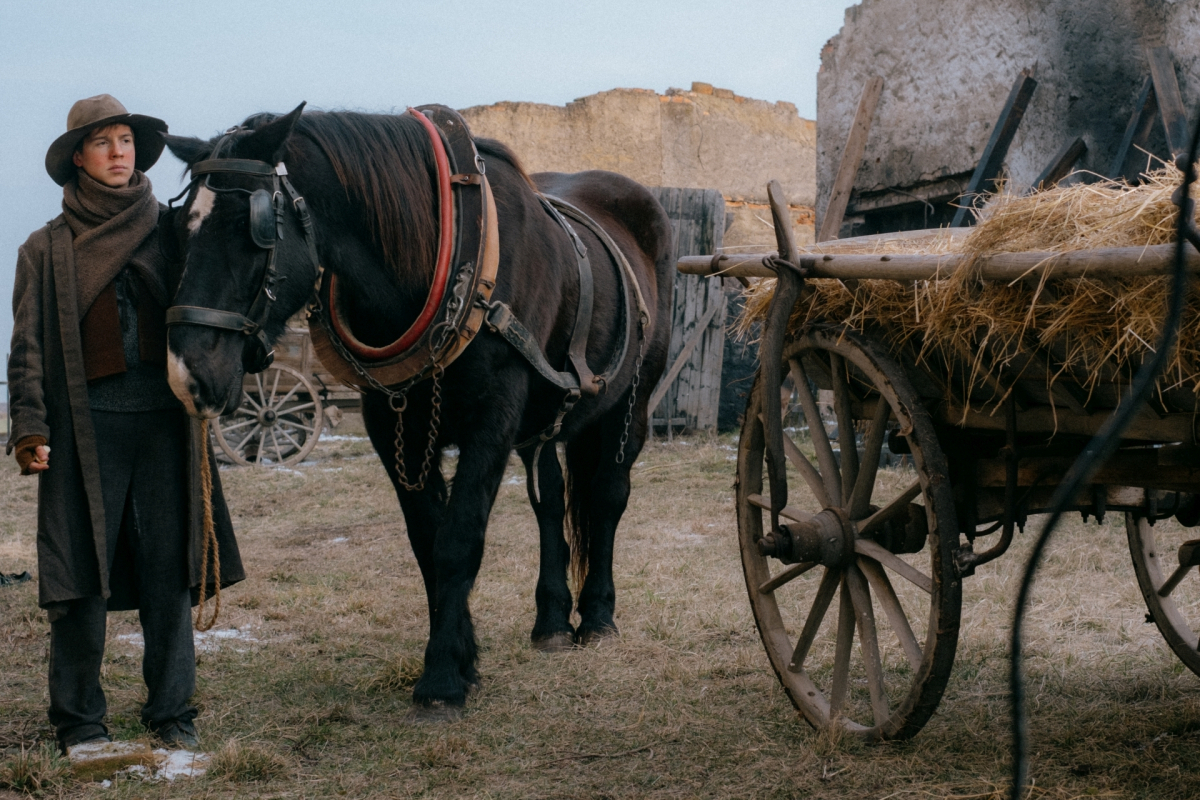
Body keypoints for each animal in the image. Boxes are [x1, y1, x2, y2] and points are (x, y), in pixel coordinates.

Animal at [162, 104, 676, 714]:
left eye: (254, 228)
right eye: (179, 228)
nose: (186, 373)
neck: (445, 259)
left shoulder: (491, 422)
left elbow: (458, 541)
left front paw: (443, 680)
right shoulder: (393, 424)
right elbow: (427, 541)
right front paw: (463, 658)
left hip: (632, 403)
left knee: (607, 497)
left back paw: (596, 616)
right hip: (544, 426)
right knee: (550, 502)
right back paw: (552, 620)